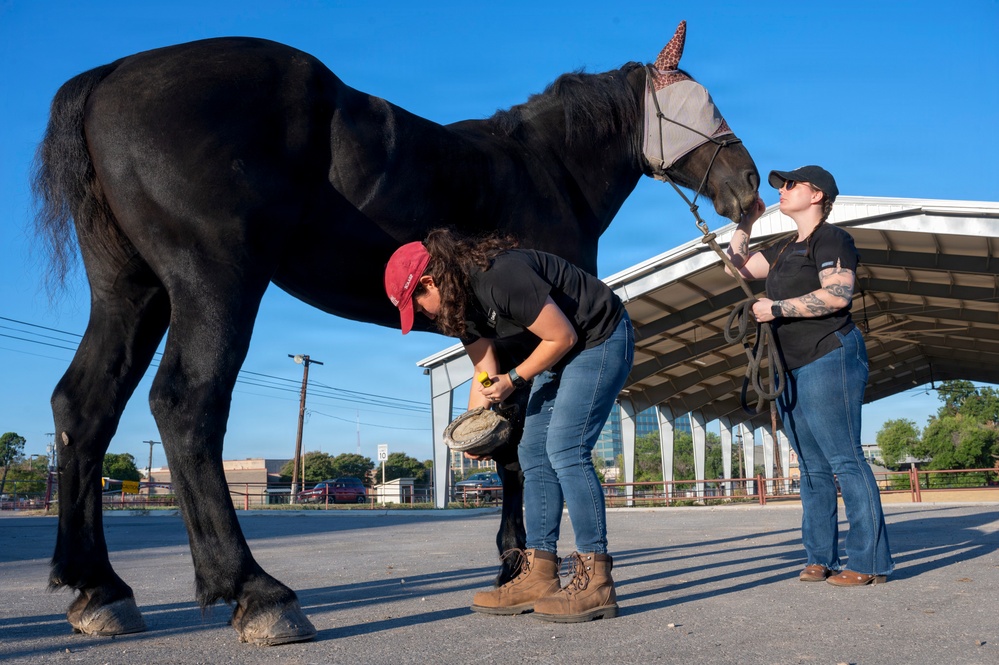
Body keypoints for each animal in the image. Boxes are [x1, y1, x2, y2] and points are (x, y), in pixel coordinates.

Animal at [33, 20, 759, 645]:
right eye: (704, 103)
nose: (749, 184)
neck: (544, 167)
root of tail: (110, 75)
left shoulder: (484, 330)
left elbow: (504, 440)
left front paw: (514, 564)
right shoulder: (523, 332)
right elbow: (515, 448)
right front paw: (518, 564)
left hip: (133, 290)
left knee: (84, 407)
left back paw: (99, 589)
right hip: (214, 279)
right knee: (186, 404)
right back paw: (258, 594)